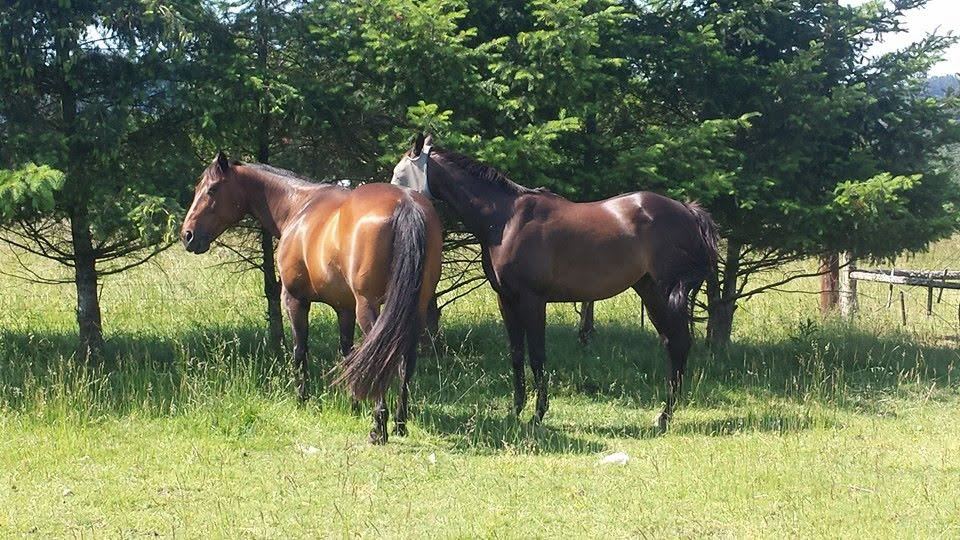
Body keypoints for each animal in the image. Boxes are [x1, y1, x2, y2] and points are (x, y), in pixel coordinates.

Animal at [181, 152, 443, 444]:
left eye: (212, 189)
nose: (187, 235)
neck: (298, 206)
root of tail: (406, 205)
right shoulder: (344, 308)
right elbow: (348, 353)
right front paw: (352, 405)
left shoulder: (295, 300)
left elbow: (300, 351)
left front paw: (302, 400)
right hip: (413, 308)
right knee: (405, 360)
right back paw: (399, 424)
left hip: (370, 308)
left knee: (383, 357)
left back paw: (379, 428)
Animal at [390, 135, 718, 431]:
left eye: (399, 174)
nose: (391, 202)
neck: (506, 219)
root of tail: (687, 210)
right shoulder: (506, 300)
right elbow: (517, 354)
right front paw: (516, 410)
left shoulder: (533, 300)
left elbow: (537, 356)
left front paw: (538, 414)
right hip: (649, 290)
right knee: (672, 344)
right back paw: (664, 416)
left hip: (665, 292)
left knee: (679, 343)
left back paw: (665, 416)